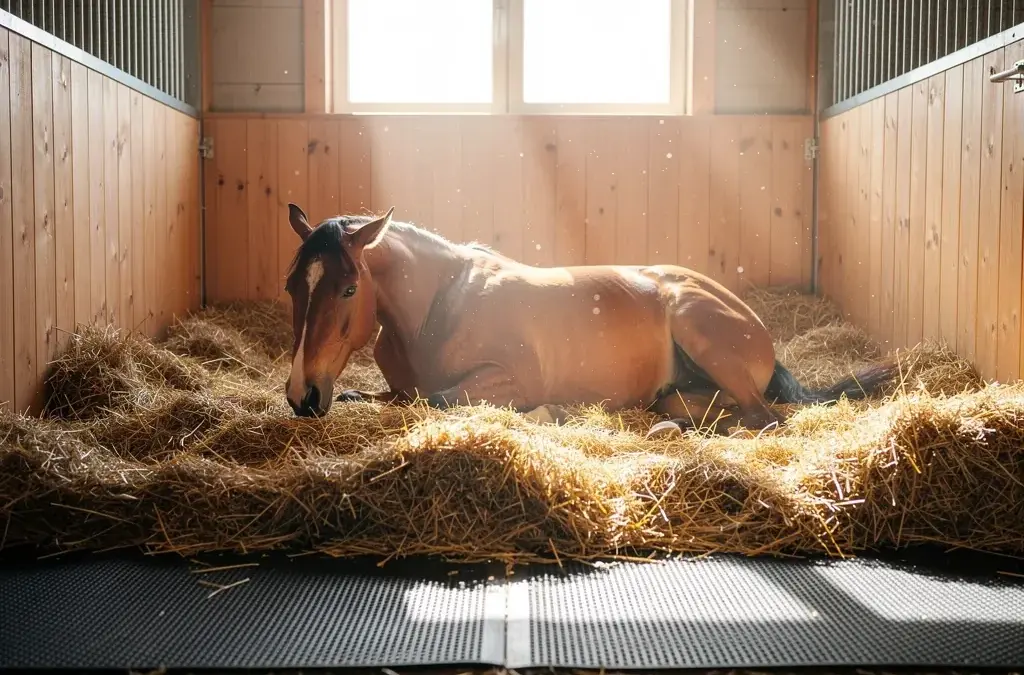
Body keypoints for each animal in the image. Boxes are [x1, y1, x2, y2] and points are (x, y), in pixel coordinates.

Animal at [282, 203, 896, 438]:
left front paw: (548, 412)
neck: (440, 306)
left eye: (348, 287)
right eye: (293, 285)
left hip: (700, 328)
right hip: (687, 384)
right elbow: (378, 397)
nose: (302, 395)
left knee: (763, 418)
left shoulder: (507, 381)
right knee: (695, 406)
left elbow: (436, 400)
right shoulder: (390, 388)